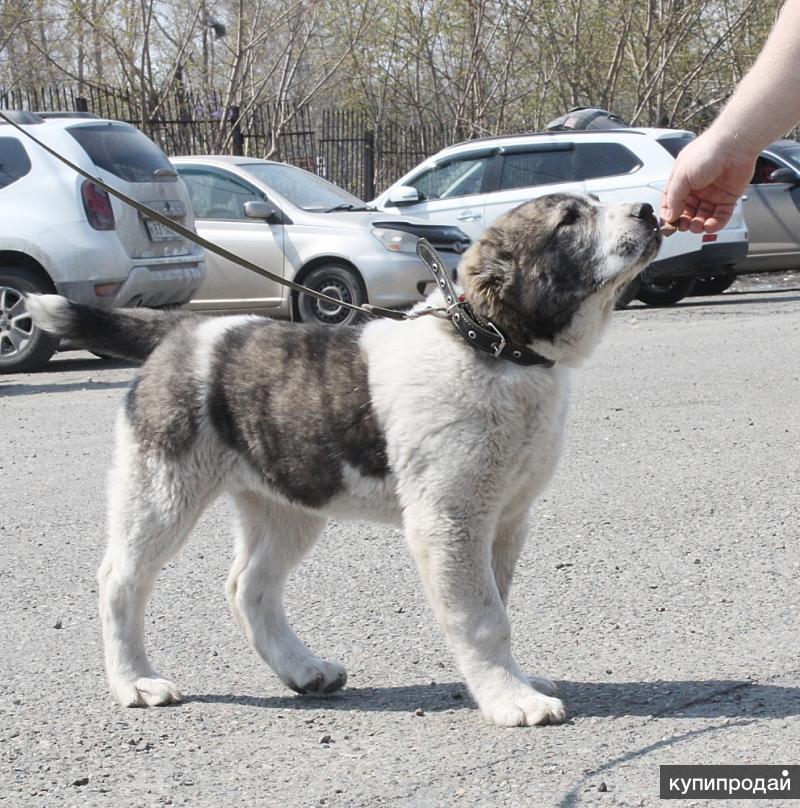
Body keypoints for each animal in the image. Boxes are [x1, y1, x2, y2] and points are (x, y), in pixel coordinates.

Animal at [26, 194, 664, 724]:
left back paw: (304, 670)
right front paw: (512, 700)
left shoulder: (506, 518)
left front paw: (513, 682)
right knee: (121, 580)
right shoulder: (452, 521)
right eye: (569, 220)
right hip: (161, 490)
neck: (491, 347)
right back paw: (134, 681)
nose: (650, 209)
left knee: (248, 586)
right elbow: (483, 617)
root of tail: (183, 328)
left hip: (287, 503)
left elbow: (496, 602)